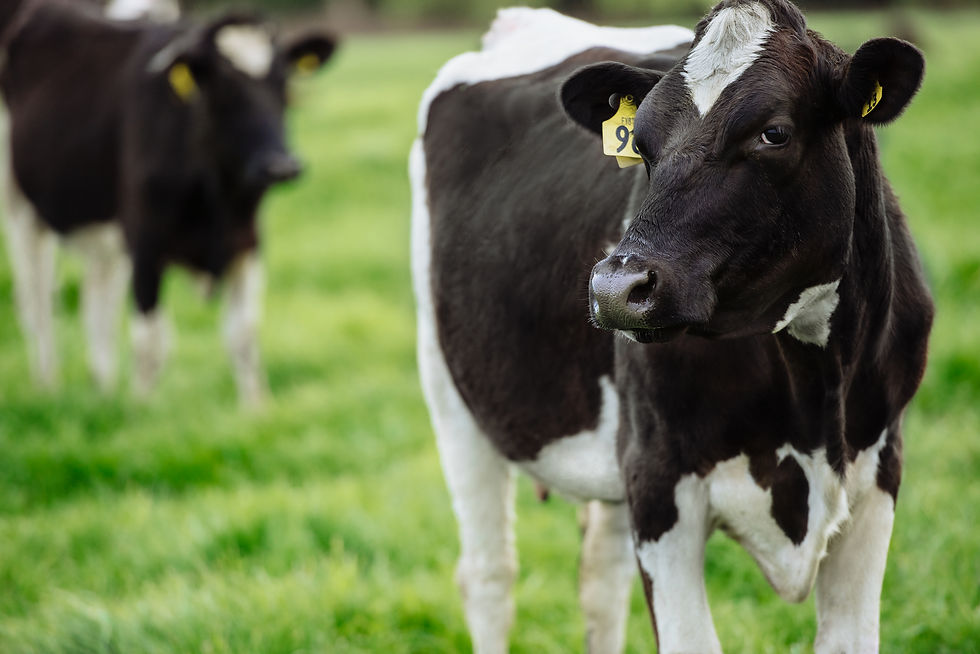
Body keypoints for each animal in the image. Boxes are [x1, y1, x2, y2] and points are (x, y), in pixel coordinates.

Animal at [0, 0, 334, 402]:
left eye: (282, 83)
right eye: (222, 87)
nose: (282, 166)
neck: (216, 198)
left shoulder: (247, 241)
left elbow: (244, 334)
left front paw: (256, 407)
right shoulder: (146, 243)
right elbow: (151, 341)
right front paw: (143, 408)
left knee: (96, 302)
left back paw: (103, 391)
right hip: (20, 209)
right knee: (37, 300)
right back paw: (48, 386)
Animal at [411, 1, 933, 652]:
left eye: (773, 133)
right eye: (640, 143)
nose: (615, 289)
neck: (817, 388)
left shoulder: (879, 472)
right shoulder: (660, 482)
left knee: (599, 577)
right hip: (451, 391)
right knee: (489, 576)